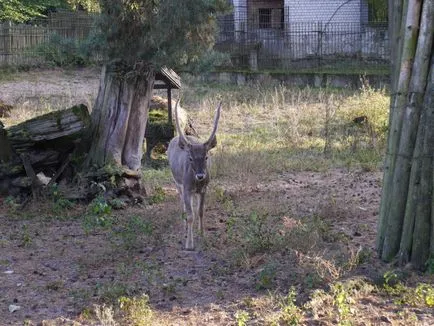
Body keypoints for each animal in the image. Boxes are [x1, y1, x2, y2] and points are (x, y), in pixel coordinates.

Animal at [166, 99, 220, 250]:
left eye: (206, 156)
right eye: (190, 158)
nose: (200, 176)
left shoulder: (204, 189)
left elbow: (200, 211)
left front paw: (202, 235)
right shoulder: (186, 188)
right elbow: (190, 215)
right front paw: (189, 244)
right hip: (177, 183)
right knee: (183, 205)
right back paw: (184, 228)